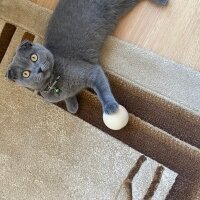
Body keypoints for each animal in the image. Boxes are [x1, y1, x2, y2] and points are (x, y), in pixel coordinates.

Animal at [7, 0, 168, 114]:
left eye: (34, 57)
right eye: (26, 74)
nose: (38, 69)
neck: (54, 81)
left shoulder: (92, 71)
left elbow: (102, 89)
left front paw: (110, 106)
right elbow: (69, 97)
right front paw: (72, 106)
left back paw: (162, 2)